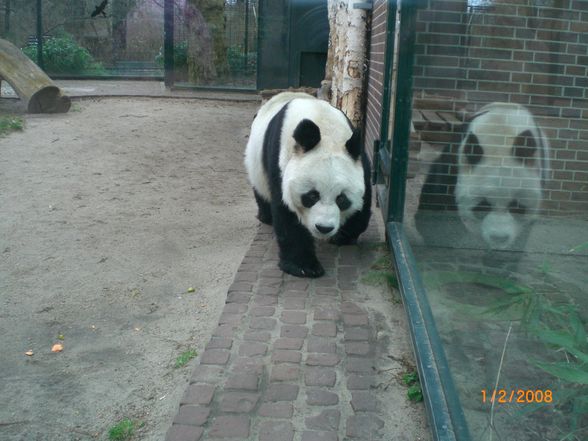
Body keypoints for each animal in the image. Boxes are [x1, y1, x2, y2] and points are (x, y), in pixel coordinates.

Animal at [245, 91, 372, 276]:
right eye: (312, 196)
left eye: (341, 199)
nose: (324, 228)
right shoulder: (280, 164)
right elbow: (287, 212)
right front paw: (304, 267)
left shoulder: (358, 158)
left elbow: (364, 201)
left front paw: (344, 236)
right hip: (256, 166)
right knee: (261, 190)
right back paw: (266, 217)